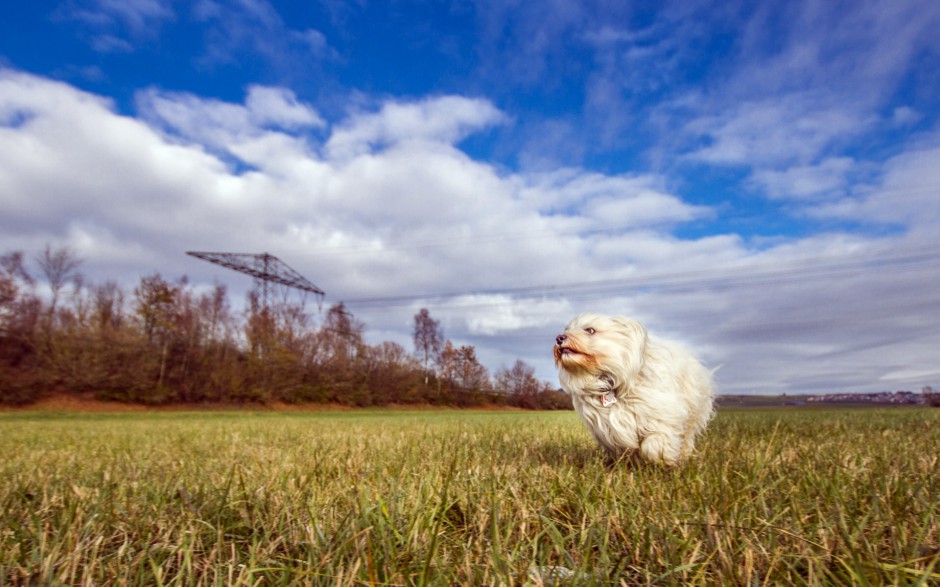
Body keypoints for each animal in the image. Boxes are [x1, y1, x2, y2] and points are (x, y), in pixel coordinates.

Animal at [552, 314, 712, 466]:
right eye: (567, 329)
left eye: (590, 330)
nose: (559, 337)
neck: (610, 380)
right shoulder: (610, 428)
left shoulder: (663, 416)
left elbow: (654, 444)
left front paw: (661, 460)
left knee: (686, 439)